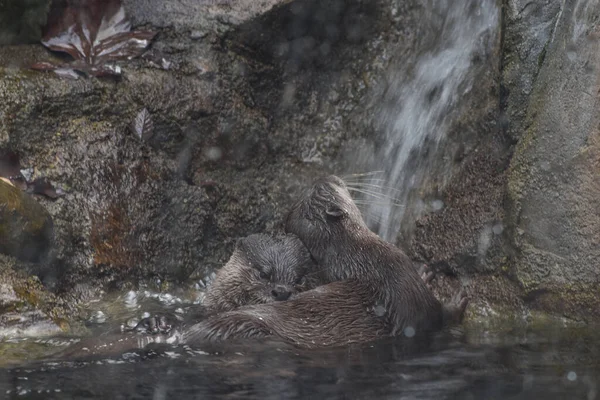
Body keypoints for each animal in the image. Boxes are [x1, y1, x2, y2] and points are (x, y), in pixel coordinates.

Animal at [183, 175, 468, 346]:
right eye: (329, 186)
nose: (327, 176)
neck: (359, 254)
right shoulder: (403, 280)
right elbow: (439, 316)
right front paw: (458, 299)